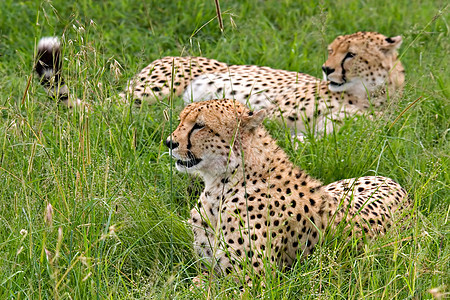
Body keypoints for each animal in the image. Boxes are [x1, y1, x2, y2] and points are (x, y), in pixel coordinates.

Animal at [33, 31, 402, 136]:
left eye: (350, 54)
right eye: (331, 51)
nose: (327, 69)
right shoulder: (277, 113)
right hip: (156, 90)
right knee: (110, 113)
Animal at [166, 99, 412, 284]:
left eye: (199, 126)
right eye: (180, 121)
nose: (169, 142)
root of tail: (394, 182)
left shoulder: (255, 281)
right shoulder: (207, 268)